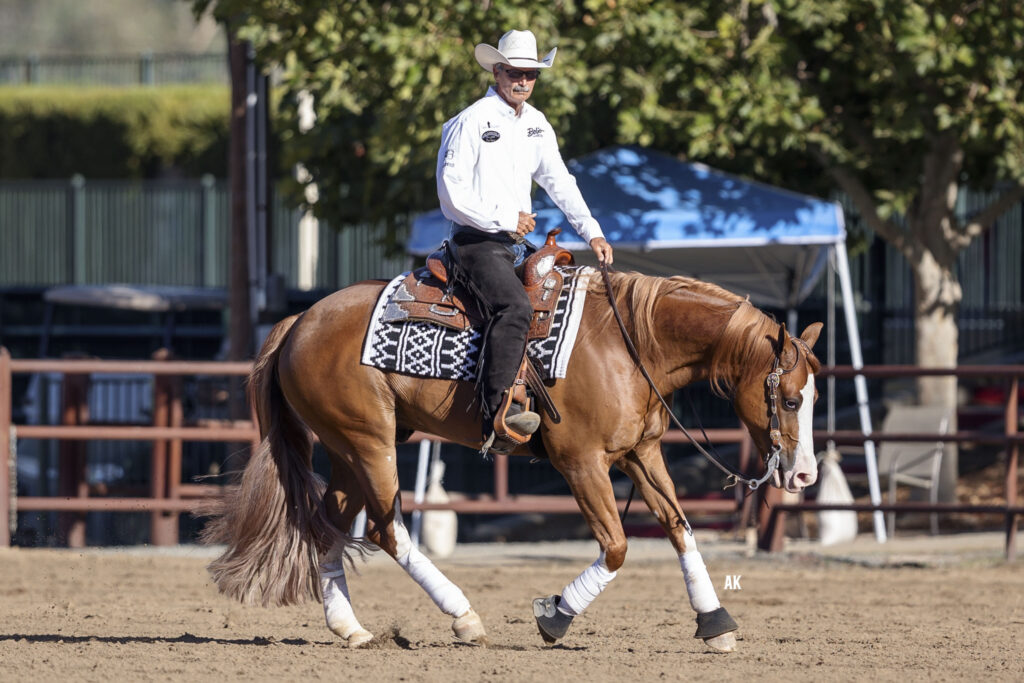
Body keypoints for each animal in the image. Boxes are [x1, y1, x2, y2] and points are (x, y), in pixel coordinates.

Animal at [201, 266, 823, 651]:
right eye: (791, 399)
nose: (804, 474)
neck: (630, 346)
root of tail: (299, 322)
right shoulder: (582, 463)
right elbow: (617, 547)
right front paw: (555, 616)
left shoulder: (640, 455)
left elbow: (679, 528)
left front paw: (715, 623)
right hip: (368, 443)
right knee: (385, 530)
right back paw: (464, 618)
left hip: (348, 448)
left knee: (328, 523)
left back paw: (350, 628)